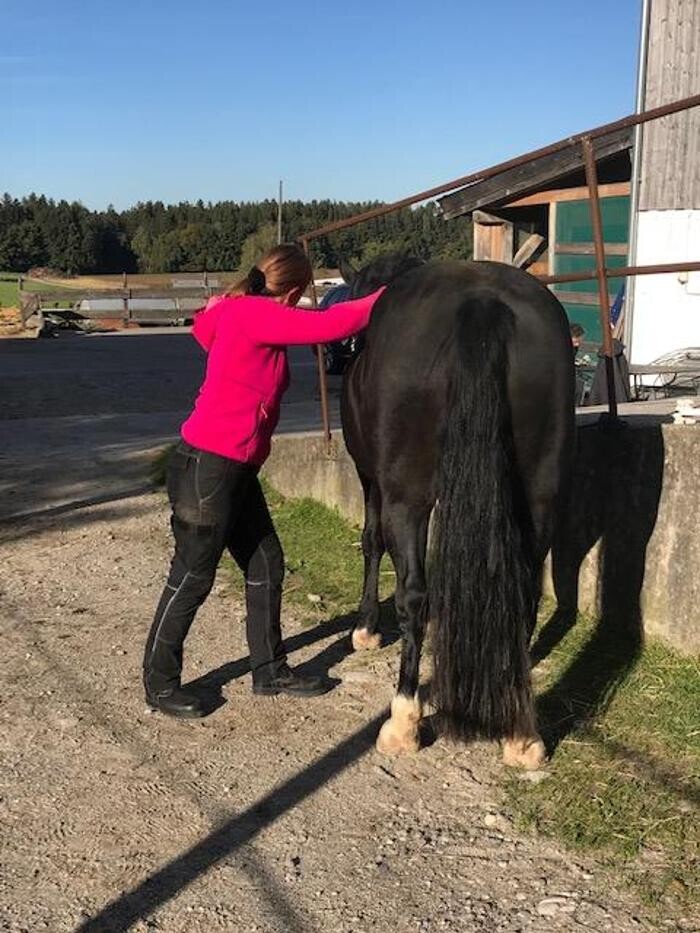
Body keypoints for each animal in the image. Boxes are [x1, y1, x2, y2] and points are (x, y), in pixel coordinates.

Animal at [340, 253, 576, 764]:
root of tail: (482, 301)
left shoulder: (372, 480)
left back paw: (403, 721)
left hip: (407, 497)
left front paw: (365, 629)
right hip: (539, 496)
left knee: (414, 595)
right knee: (525, 596)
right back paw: (521, 733)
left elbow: (371, 542)